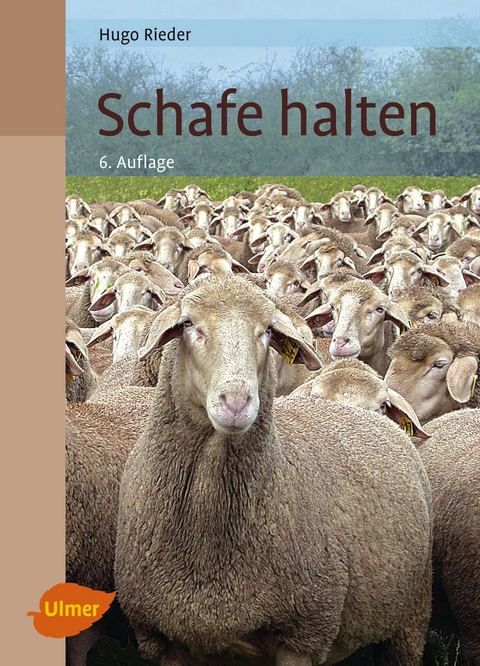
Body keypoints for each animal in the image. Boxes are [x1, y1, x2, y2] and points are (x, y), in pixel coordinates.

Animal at [115, 273, 432, 666]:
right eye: (188, 324)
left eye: (267, 330)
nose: (237, 402)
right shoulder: (163, 638)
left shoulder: (303, 634)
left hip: (412, 614)